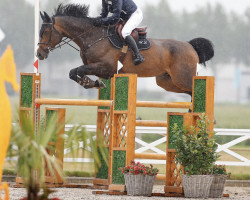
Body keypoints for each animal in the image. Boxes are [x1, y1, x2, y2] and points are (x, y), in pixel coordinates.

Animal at [36, 3, 214, 96]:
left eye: (45, 32)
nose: (39, 54)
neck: (93, 36)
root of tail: (190, 46)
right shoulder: (101, 69)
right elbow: (75, 72)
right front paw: (92, 83)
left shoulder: (106, 67)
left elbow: (76, 70)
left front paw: (89, 83)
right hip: (167, 81)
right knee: (190, 93)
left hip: (183, 78)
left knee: (195, 90)